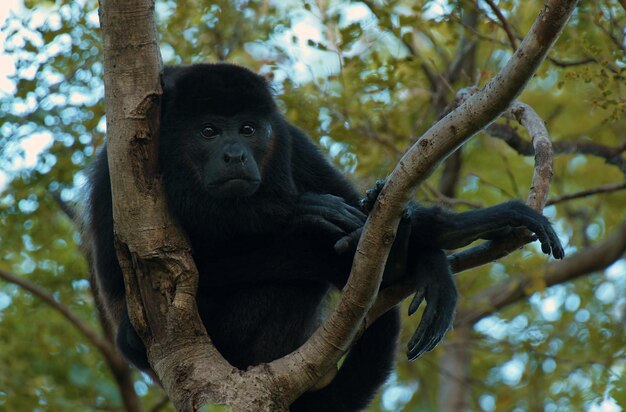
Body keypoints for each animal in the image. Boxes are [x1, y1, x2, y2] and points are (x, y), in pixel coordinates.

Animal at [85, 62, 564, 410]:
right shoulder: (120, 169)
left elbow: (356, 207)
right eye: (208, 131)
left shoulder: (291, 140)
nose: (235, 155)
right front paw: (300, 214)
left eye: (248, 129)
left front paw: (455, 235)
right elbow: (136, 279)